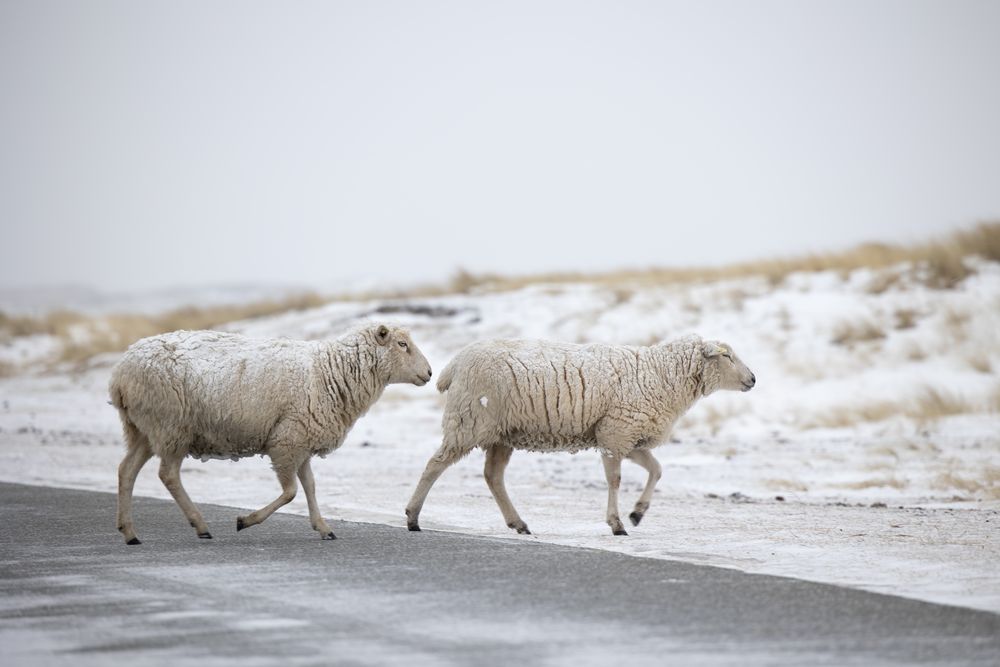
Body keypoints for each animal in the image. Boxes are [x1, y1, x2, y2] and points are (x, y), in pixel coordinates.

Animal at [111, 324, 432, 548]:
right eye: (402, 344)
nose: (429, 373)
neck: (332, 371)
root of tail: (120, 374)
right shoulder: (286, 441)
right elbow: (291, 492)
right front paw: (245, 521)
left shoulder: (301, 438)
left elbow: (310, 487)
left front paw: (323, 527)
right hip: (170, 426)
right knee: (168, 474)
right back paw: (199, 524)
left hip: (144, 429)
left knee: (126, 470)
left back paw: (130, 533)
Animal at [402, 334, 752, 536]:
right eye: (726, 356)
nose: (753, 379)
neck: (661, 374)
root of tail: (453, 365)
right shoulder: (615, 434)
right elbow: (615, 480)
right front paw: (617, 524)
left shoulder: (628, 436)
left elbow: (657, 470)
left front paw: (637, 513)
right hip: (469, 422)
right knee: (435, 465)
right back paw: (413, 517)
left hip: (501, 433)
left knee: (493, 477)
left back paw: (518, 524)